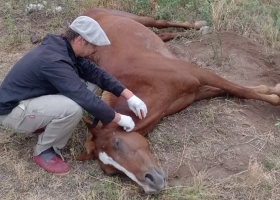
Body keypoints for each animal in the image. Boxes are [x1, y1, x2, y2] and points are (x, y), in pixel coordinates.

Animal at [76, 7, 280, 194]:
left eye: (117, 143)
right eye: (110, 172)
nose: (151, 185)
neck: (146, 81)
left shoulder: (198, 74)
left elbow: (240, 90)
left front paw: (275, 94)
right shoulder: (195, 92)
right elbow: (238, 90)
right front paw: (272, 91)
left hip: (136, 18)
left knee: (160, 23)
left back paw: (200, 26)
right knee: (165, 33)